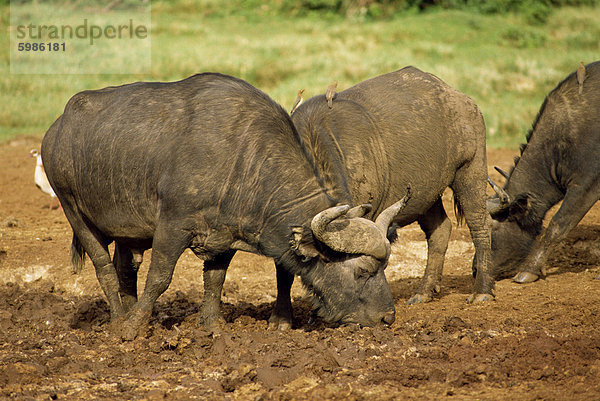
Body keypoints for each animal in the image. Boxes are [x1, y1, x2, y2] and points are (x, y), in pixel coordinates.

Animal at [39, 72, 410, 338]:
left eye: (386, 266)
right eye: (362, 271)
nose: (388, 317)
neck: (242, 159)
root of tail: (56, 128)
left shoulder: (223, 237)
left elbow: (215, 280)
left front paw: (212, 326)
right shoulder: (173, 225)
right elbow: (160, 277)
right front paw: (133, 329)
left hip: (129, 231)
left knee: (125, 266)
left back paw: (129, 309)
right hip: (74, 211)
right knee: (103, 267)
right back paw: (120, 318)